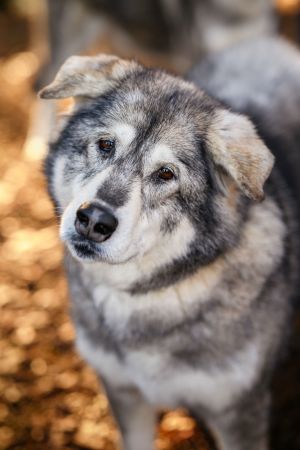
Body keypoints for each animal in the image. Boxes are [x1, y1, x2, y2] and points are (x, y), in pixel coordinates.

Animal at [40, 36, 300, 450]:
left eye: (165, 174)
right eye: (105, 144)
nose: (94, 221)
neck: (146, 296)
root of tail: (268, 43)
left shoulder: (239, 413)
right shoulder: (125, 395)